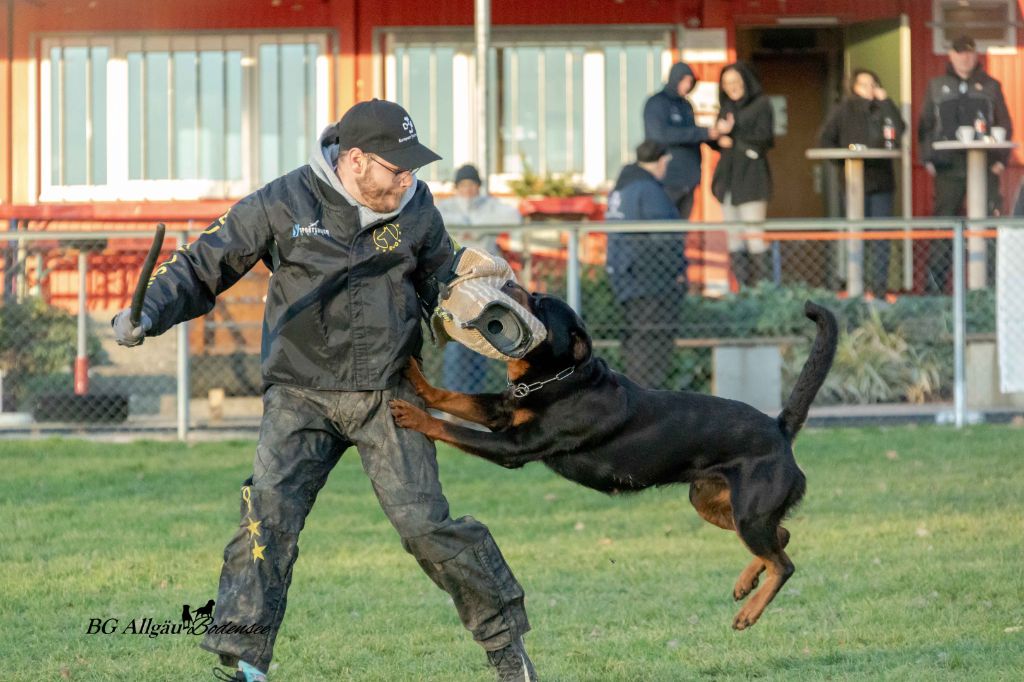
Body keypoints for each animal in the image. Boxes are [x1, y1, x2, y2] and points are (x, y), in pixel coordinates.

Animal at [387, 280, 835, 626]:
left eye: (540, 304)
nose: (514, 283)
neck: (560, 378)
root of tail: (780, 428)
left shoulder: (514, 447)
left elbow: (451, 426)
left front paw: (413, 413)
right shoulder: (502, 413)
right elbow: (453, 398)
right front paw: (417, 380)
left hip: (749, 511)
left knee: (784, 563)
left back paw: (750, 612)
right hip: (713, 502)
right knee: (782, 537)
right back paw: (745, 584)